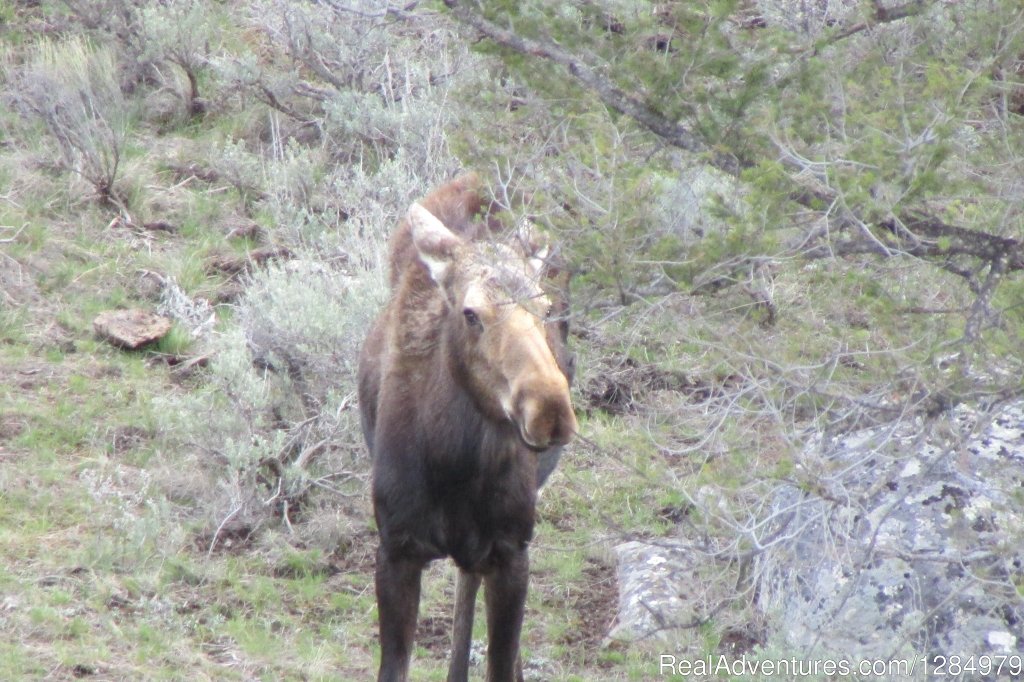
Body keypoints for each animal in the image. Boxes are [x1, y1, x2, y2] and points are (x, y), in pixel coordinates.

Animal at [362, 173, 581, 675]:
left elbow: (501, 662)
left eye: (545, 308)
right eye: (471, 313)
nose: (549, 411)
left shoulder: (512, 549)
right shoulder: (395, 548)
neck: (452, 463)